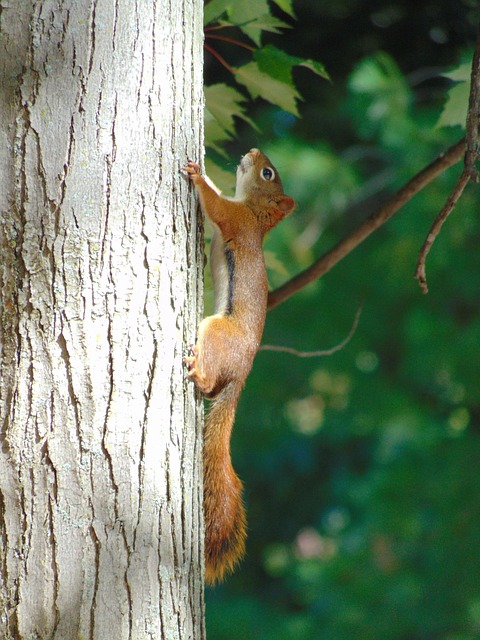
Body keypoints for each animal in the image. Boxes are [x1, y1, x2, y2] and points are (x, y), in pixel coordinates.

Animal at [182, 149, 295, 584]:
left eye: (267, 172)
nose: (251, 152)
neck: (254, 212)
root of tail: (241, 375)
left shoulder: (234, 219)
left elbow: (215, 206)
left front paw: (197, 175)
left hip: (215, 331)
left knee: (207, 379)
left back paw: (197, 371)